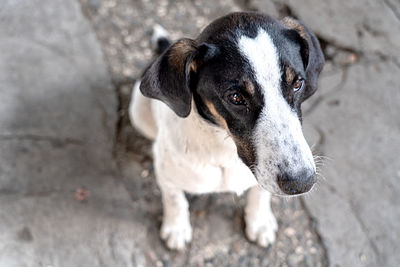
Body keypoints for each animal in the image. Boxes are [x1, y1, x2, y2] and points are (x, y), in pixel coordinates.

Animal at [130, 12, 324, 251]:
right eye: (236, 97)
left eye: (297, 83)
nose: (302, 183)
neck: (225, 150)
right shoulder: (167, 176)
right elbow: (175, 199)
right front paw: (176, 227)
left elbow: (260, 193)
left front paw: (259, 221)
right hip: (138, 113)